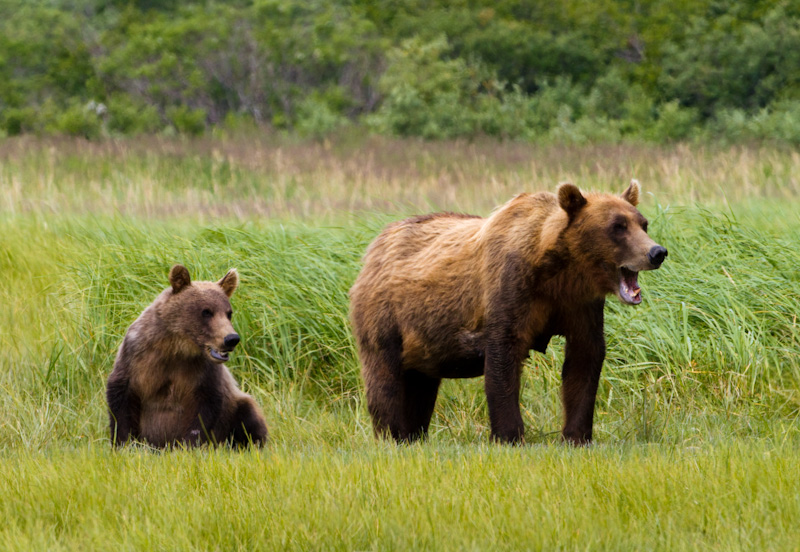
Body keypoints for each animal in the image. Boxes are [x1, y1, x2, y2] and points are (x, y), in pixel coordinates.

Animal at [104, 264, 268, 448]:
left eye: (228, 313)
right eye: (206, 312)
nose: (231, 339)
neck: (176, 346)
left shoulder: (201, 373)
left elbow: (204, 409)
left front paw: (189, 445)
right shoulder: (136, 357)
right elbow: (121, 398)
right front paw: (125, 443)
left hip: (233, 407)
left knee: (248, 415)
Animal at [352, 180, 668, 444]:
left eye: (643, 223)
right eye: (617, 226)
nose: (657, 252)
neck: (560, 271)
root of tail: (374, 247)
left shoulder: (579, 305)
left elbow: (584, 358)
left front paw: (577, 436)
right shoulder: (512, 288)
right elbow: (504, 354)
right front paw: (509, 435)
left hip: (425, 337)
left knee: (421, 385)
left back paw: (414, 435)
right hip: (386, 314)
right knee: (385, 378)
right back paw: (392, 435)